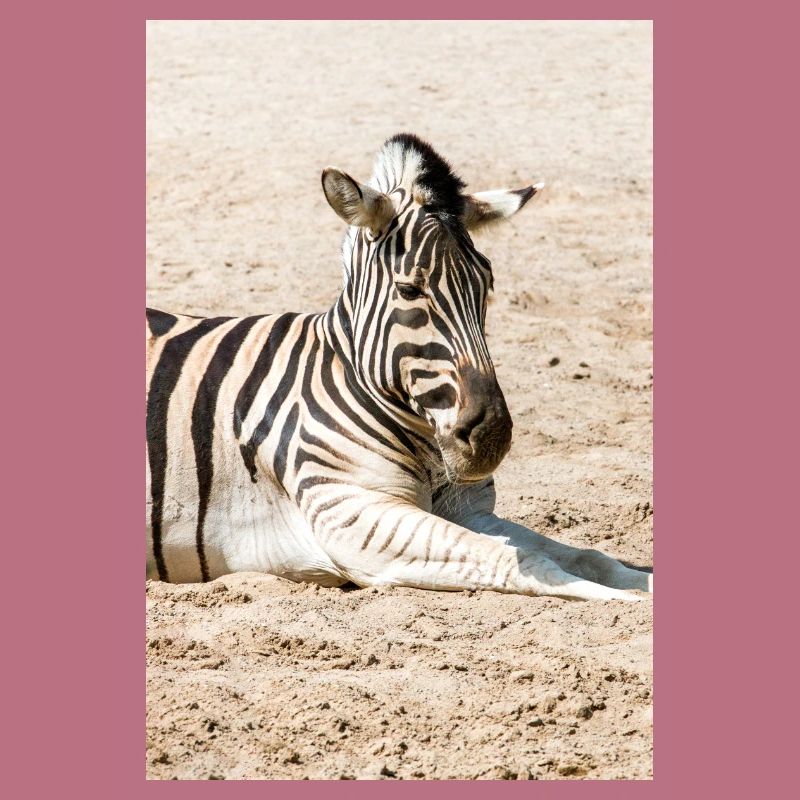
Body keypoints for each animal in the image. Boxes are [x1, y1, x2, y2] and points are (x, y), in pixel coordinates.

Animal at [146, 133, 652, 601]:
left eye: (487, 285)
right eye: (410, 290)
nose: (492, 437)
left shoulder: (471, 510)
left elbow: (587, 556)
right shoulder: (353, 515)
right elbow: (522, 560)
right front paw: (623, 602)